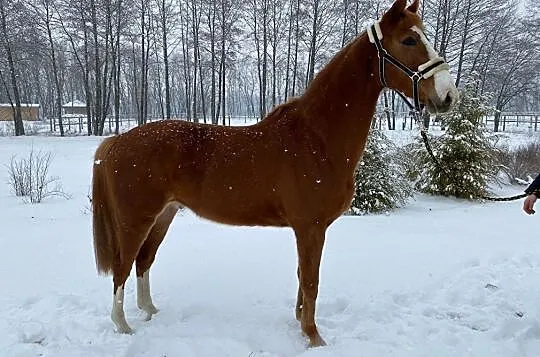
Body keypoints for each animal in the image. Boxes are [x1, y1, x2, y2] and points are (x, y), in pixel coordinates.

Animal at [92, 0, 456, 346]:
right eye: (409, 40)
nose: (448, 96)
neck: (316, 137)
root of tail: (116, 141)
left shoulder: (307, 230)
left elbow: (301, 277)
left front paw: (300, 323)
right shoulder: (310, 228)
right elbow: (311, 280)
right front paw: (313, 336)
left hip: (163, 215)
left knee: (144, 261)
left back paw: (150, 310)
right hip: (136, 220)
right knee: (123, 266)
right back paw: (123, 326)